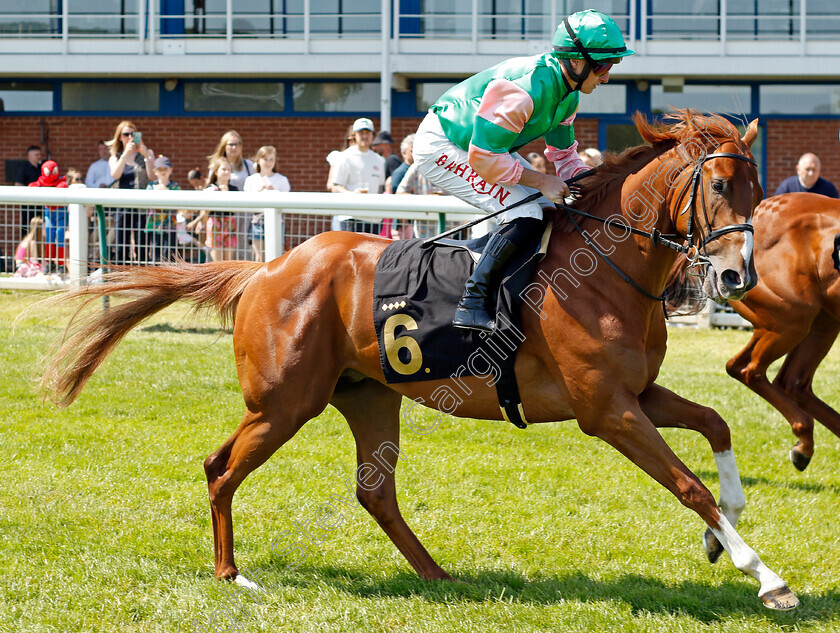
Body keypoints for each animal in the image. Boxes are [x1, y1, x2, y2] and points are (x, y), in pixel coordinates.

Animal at [39, 111, 796, 608]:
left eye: (760, 190)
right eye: (719, 187)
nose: (738, 277)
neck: (604, 270)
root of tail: (266, 269)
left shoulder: (638, 393)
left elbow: (717, 424)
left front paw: (722, 533)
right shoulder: (605, 409)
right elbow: (688, 484)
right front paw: (765, 575)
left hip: (368, 395)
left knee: (372, 491)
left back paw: (437, 576)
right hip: (284, 402)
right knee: (222, 468)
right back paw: (232, 574)